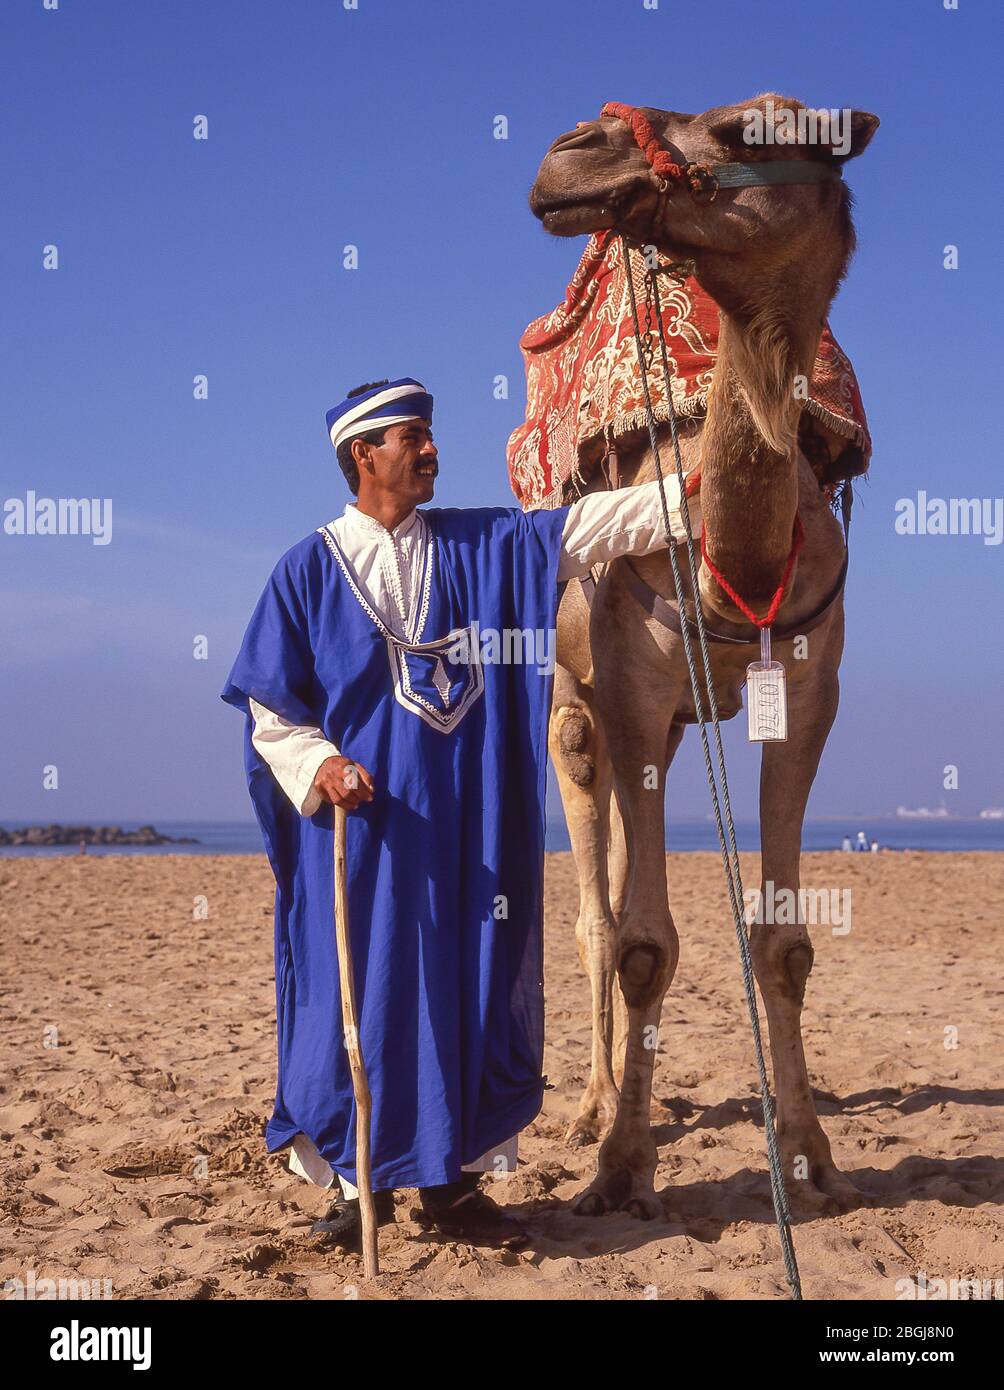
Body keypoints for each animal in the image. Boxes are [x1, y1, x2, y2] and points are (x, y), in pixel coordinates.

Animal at [528, 95, 873, 1217]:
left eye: (750, 130)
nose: (572, 151)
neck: (737, 559)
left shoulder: (807, 696)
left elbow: (782, 941)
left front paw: (810, 1154)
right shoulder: (629, 694)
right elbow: (641, 942)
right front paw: (619, 1165)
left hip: (675, 723)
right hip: (576, 705)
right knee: (594, 908)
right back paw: (589, 1108)